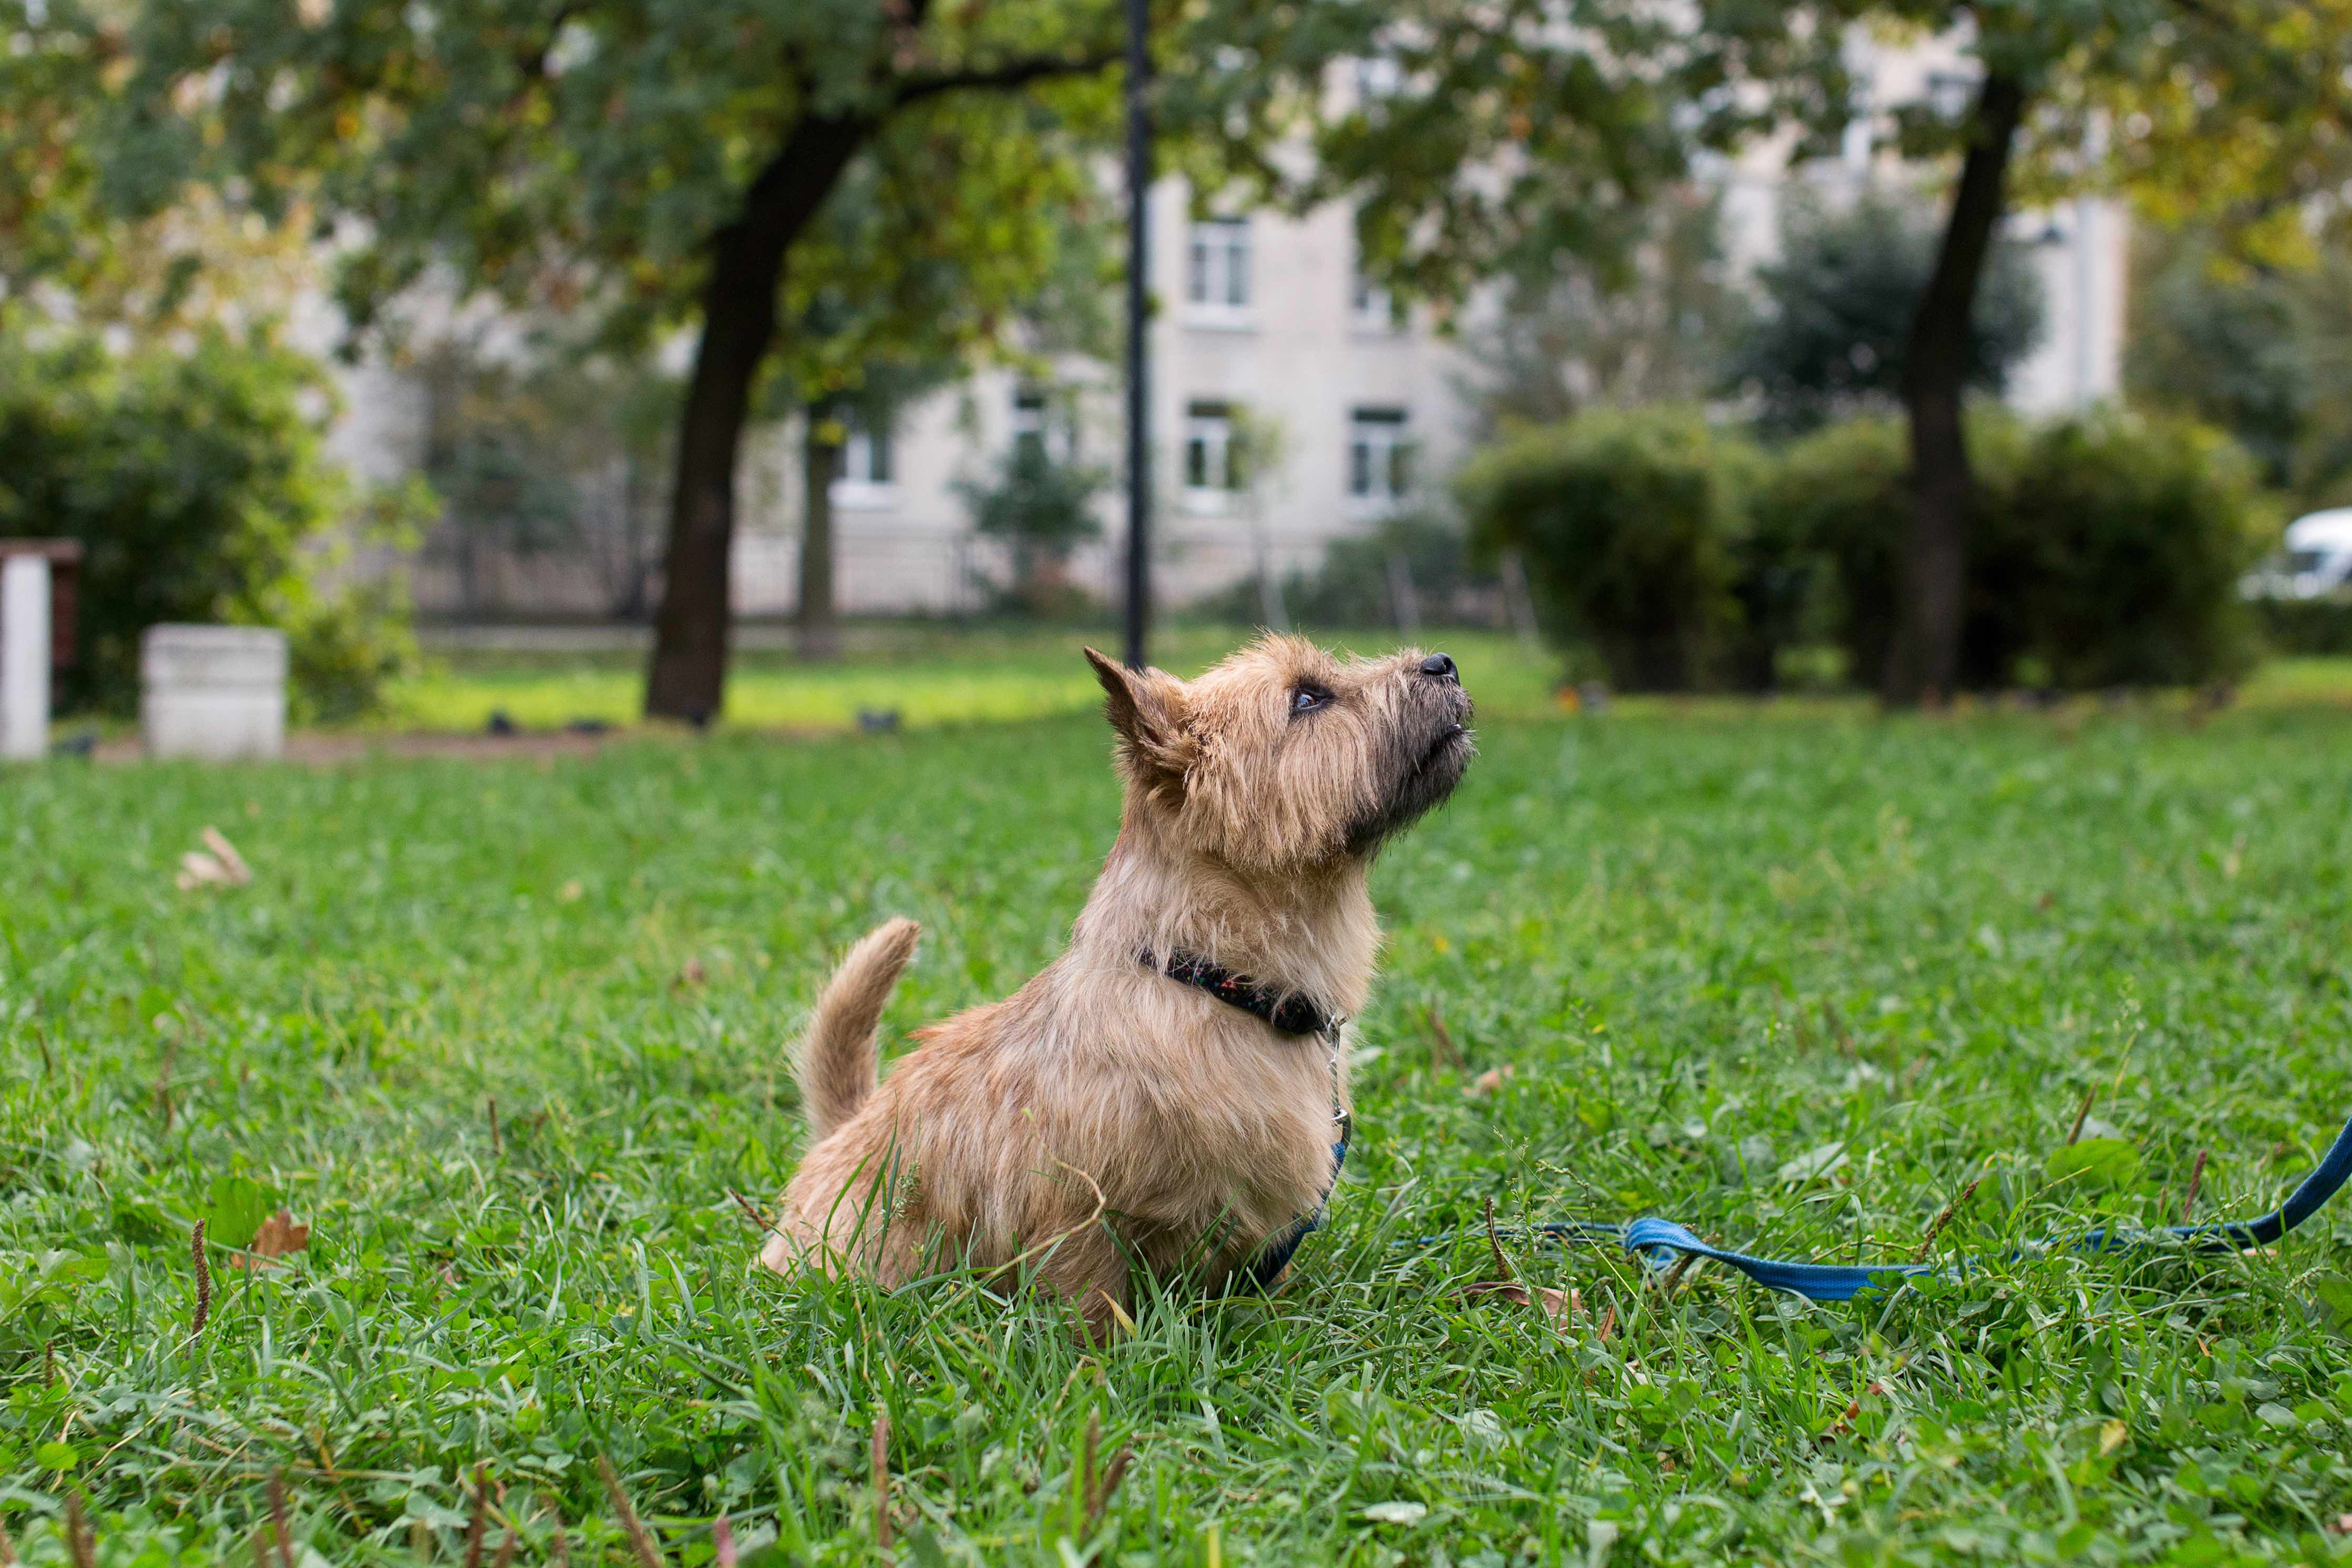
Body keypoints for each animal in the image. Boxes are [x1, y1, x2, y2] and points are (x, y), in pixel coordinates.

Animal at [762, 639, 1477, 1335]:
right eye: (1308, 698)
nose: (1444, 662)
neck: (1208, 979)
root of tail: (843, 1131)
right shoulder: (1075, 1216)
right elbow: (1094, 1313)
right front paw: (1104, 1364)